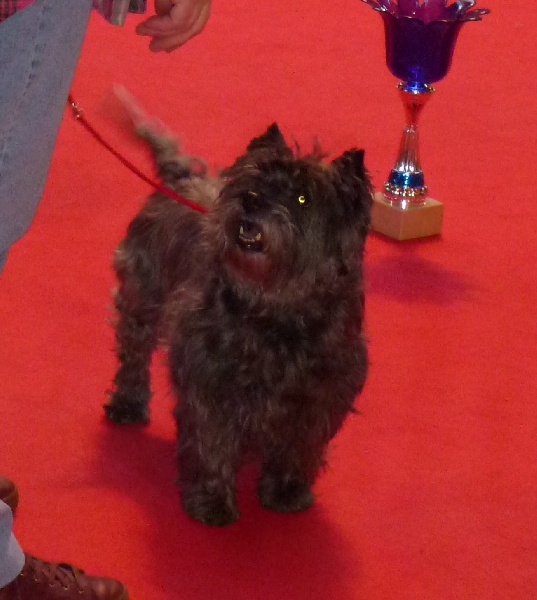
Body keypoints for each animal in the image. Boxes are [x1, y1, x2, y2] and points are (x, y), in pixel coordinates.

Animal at [104, 118, 372, 526]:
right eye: (256, 179)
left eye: (302, 198)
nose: (251, 201)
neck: (276, 309)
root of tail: (181, 177)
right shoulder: (213, 381)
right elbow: (212, 442)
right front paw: (212, 501)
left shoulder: (319, 395)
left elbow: (299, 446)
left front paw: (286, 491)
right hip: (142, 293)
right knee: (134, 350)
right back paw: (127, 402)